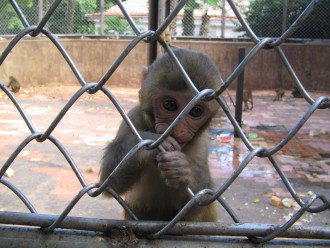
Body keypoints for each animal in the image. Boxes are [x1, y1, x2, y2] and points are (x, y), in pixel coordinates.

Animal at [98, 48, 222, 221]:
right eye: (170, 105)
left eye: (196, 111)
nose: (178, 129)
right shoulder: (133, 116)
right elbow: (110, 182)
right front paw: (150, 144)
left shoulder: (202, 142)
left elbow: (201, 201)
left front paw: (186, 171)